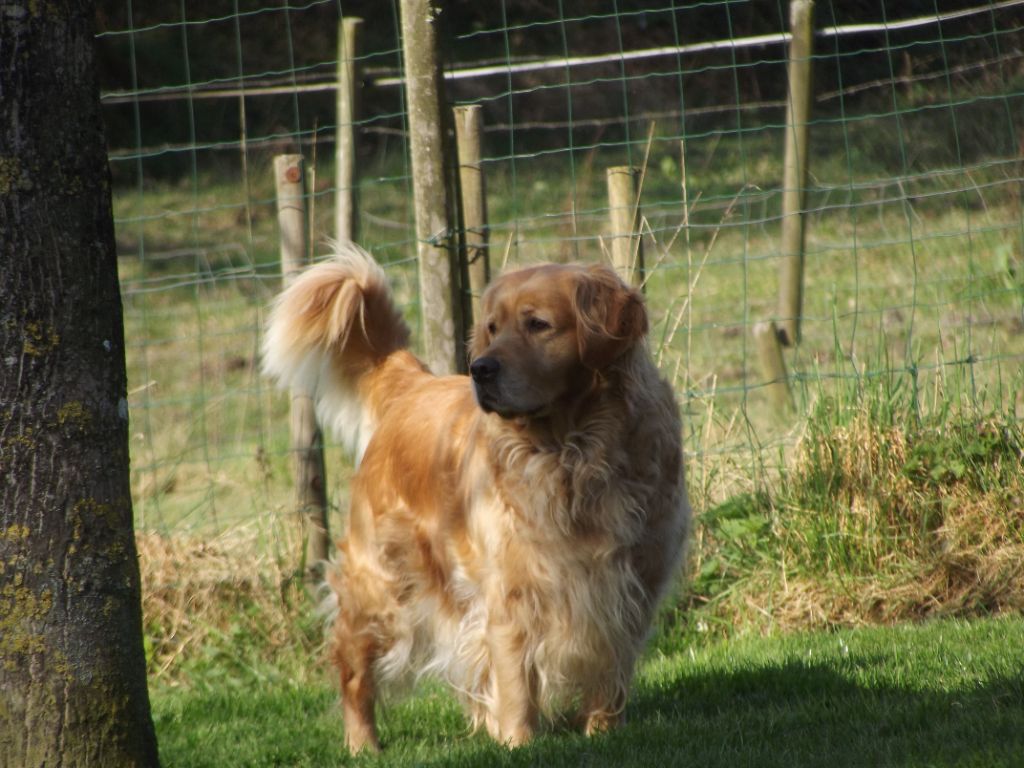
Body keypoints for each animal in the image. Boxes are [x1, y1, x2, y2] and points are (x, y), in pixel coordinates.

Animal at [262, 244, 688, 753]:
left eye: (538, 324)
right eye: (491, 328)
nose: (479, 370)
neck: (572, 452)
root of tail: (413, 384)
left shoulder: (628, 587)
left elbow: (610, 673)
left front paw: (602, 732)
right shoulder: (510, 593)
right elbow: (516, 681)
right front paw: (520, 745)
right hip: (382, 588)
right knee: (354, 670)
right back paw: (363, 744)